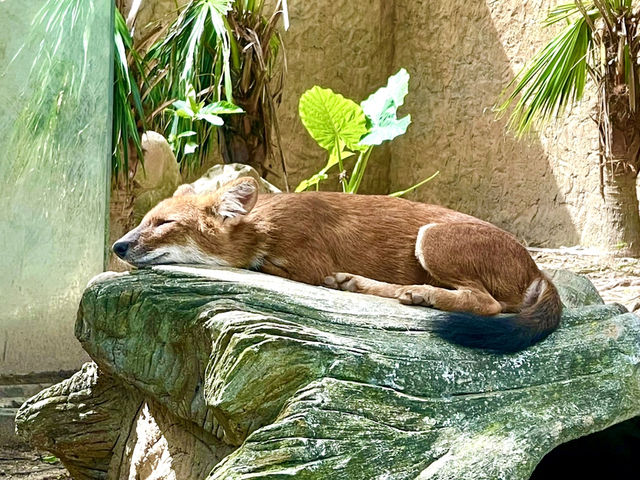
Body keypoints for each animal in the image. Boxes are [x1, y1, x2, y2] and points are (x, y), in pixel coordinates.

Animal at [114, 176, 560, 352]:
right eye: (143, 219)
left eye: (164, 223)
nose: (118, 246)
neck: (265, 224)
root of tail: (538, 268)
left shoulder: (306, 262)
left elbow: (260, 265)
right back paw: (364, 284)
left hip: (432, 237)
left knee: (488, 304)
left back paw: (417, 292)